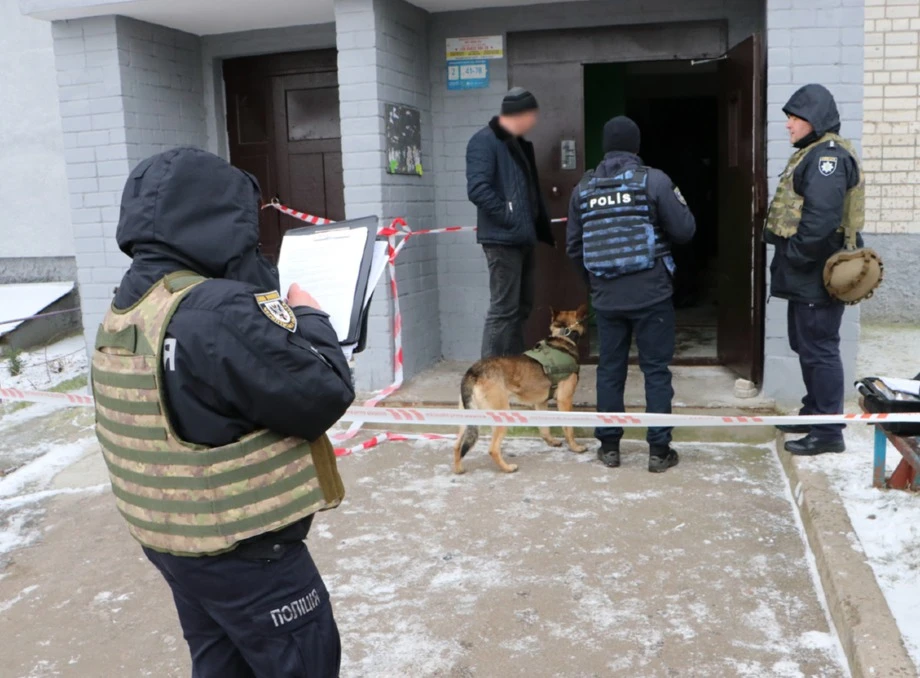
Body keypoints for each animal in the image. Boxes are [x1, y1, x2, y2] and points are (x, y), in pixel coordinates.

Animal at [452, 306, 588, 476]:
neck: (563, 336)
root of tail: (473, 371)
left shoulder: (541, 403)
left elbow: (544, 429)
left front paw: (551, 441)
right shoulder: (565, 400)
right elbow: (569, 428)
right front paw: (575, 447)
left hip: (466, 418)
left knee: (457, 445)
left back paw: (458, 469)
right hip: (502, 414)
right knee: (492, 449)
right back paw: (507, 468)